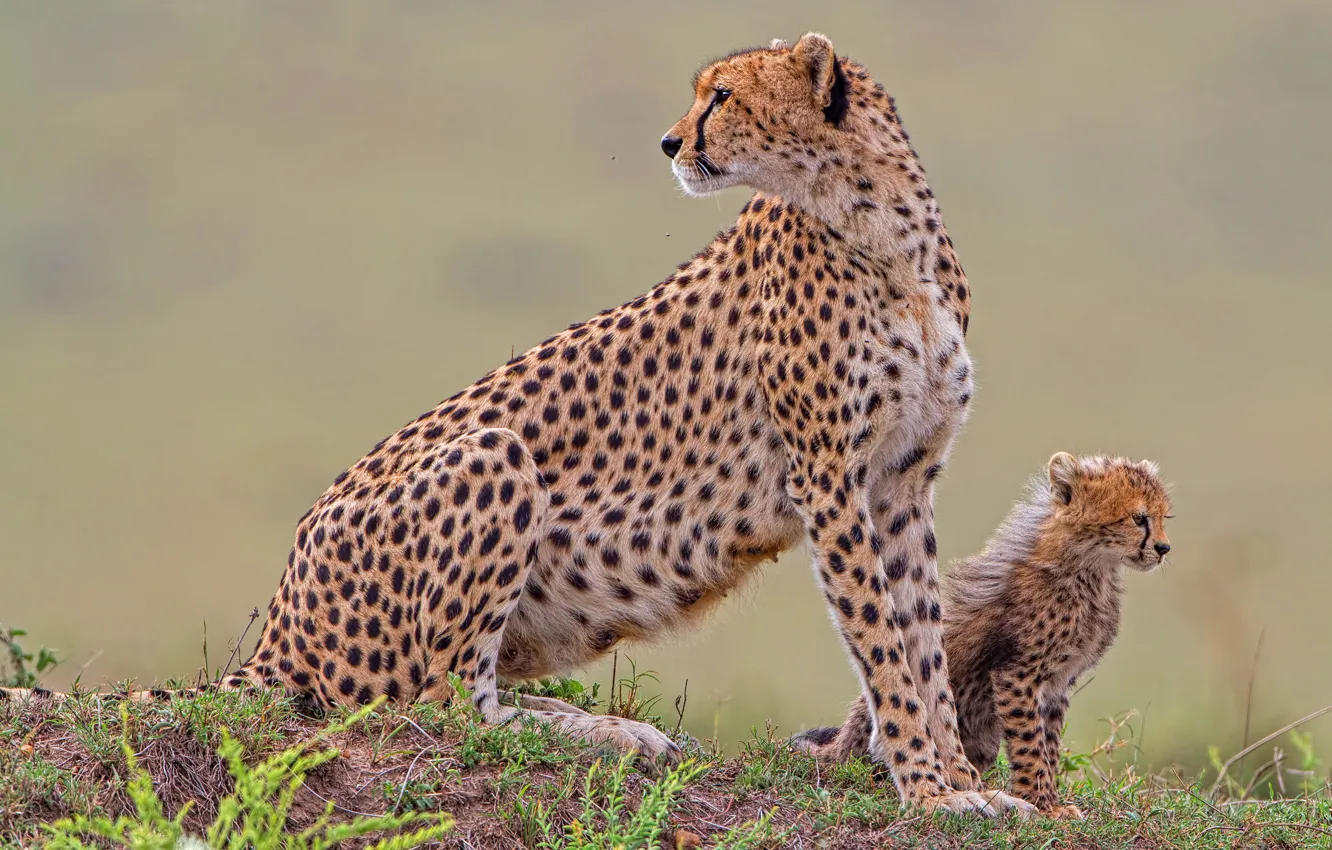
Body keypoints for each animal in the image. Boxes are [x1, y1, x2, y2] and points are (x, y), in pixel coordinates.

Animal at [2, 33, 1028, 820]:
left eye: (723, 95)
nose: (669, 140)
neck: (882, 228)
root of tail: (278, 623)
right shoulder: (830, 477)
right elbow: (884, 643)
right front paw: (932, 791)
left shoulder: (900, 480)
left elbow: (921, 636)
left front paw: (962, 782)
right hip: (491, 458)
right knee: (442, 705)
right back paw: (611, 733)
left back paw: (620, 731)